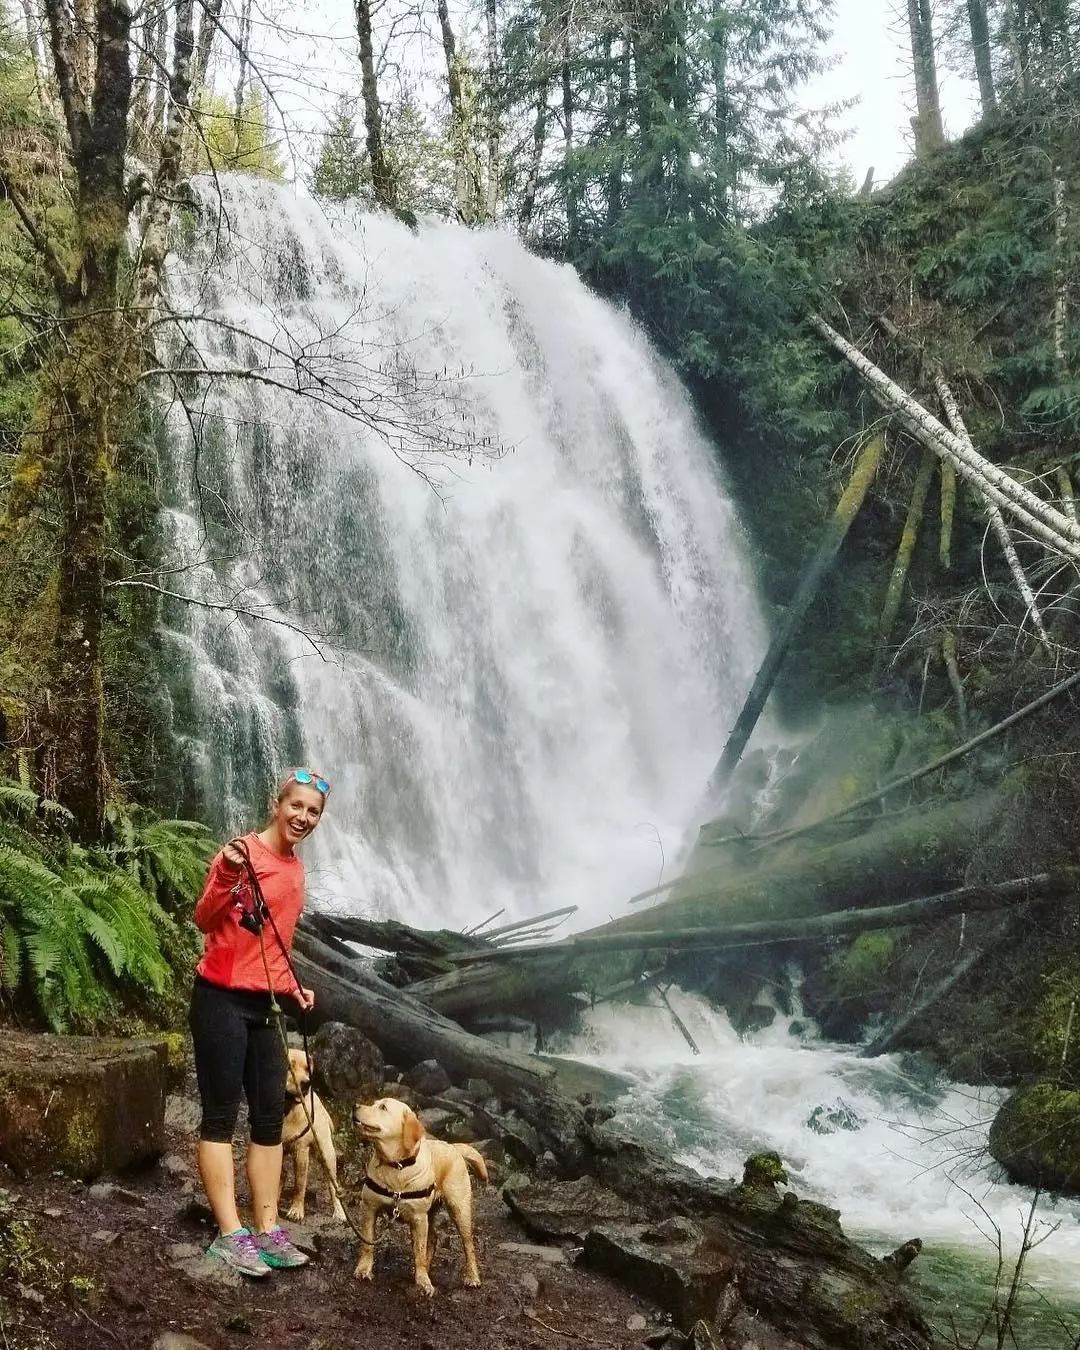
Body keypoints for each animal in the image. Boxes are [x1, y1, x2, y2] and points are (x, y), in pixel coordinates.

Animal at [282, 1047, 345, 1231]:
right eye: (289, 1066)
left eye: (307, 1069)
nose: (306, 1083)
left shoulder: (301, 1151)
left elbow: (299, 1184)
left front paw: (296, 1211)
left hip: (327, 1155)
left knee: (334, 1187)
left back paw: (339, 1213)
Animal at [351, 1090, 486, 1290]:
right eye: (374, 1103)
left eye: (383, 1107)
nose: (355, 1106)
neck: (396, 1166)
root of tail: (453, 1146)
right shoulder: (368, 1207)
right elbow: (367, 1243)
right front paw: (364, 1269)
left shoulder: (418, 1218)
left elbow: (419, 1252)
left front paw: (422, 1281)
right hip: (432, 1213)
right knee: (434, 1238)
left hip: (459, 1210)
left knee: (468, 1245)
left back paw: (472, 1277)